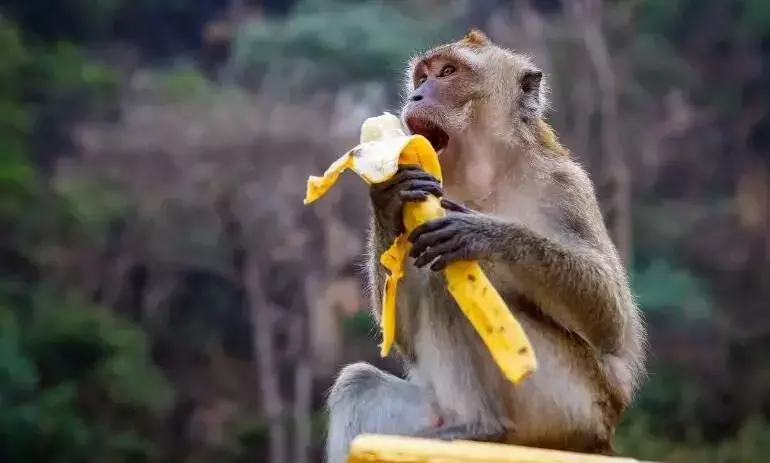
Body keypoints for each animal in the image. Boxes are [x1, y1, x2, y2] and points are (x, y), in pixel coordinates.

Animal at [325, 29, 646, 463]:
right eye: (422, 76)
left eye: (448, 72)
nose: (417, 95)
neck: (485, 174)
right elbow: (400, 333)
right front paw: (388, 194)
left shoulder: (566, 185)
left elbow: (613, 328)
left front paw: (484, 234)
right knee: (359, 382)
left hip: (566, 405)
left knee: (449, 281)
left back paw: (482, 425)